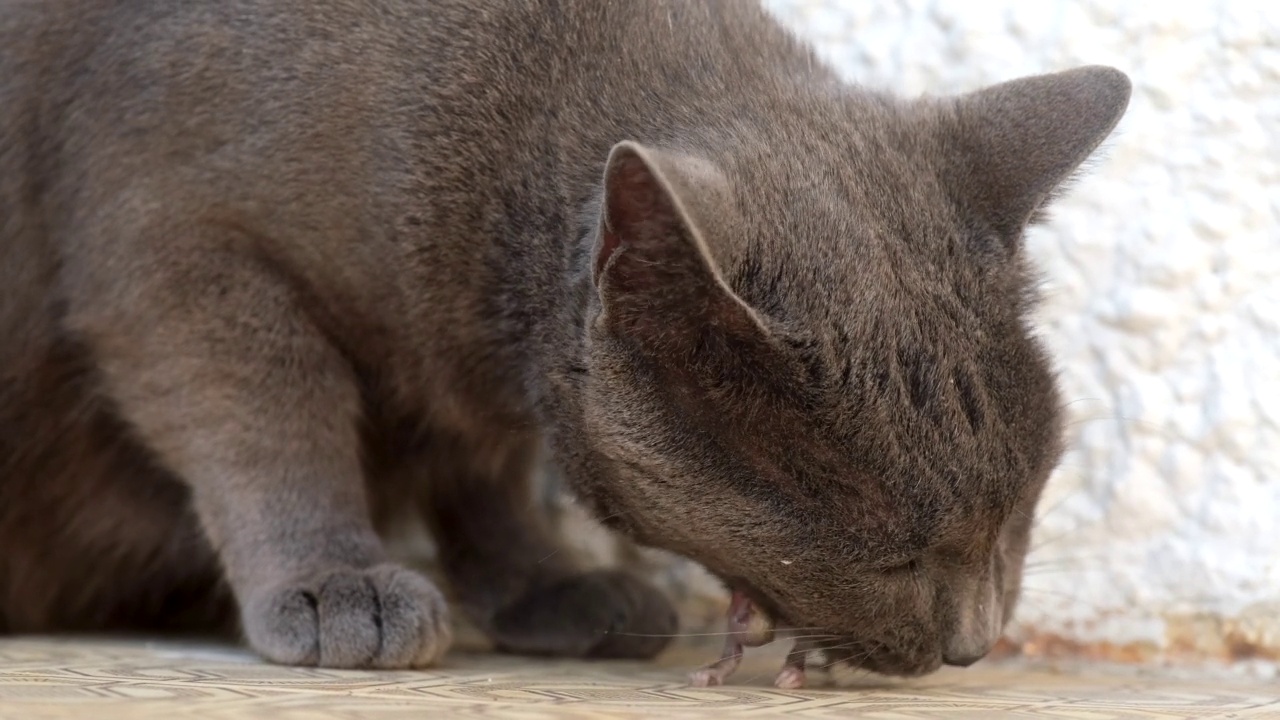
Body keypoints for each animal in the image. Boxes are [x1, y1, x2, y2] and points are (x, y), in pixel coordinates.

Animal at [0, 0, 1126, 671]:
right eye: (894, 560)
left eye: (1021, 512)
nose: (973, 646)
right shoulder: (178, 244)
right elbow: (273, 422)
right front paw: (335, 583)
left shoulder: (459, 359)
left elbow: (479, 466)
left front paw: (546, 583)